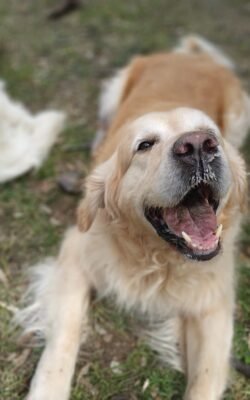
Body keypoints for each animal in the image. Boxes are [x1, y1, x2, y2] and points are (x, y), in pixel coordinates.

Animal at [16, 36, 249, 398]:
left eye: (211, 134)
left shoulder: (214, 304)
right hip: (114, 91)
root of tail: (192, 56)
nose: (199, 146)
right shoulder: (75, 254)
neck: (157, 257)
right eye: (145, 145)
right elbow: (64, 336)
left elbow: (206, 378)